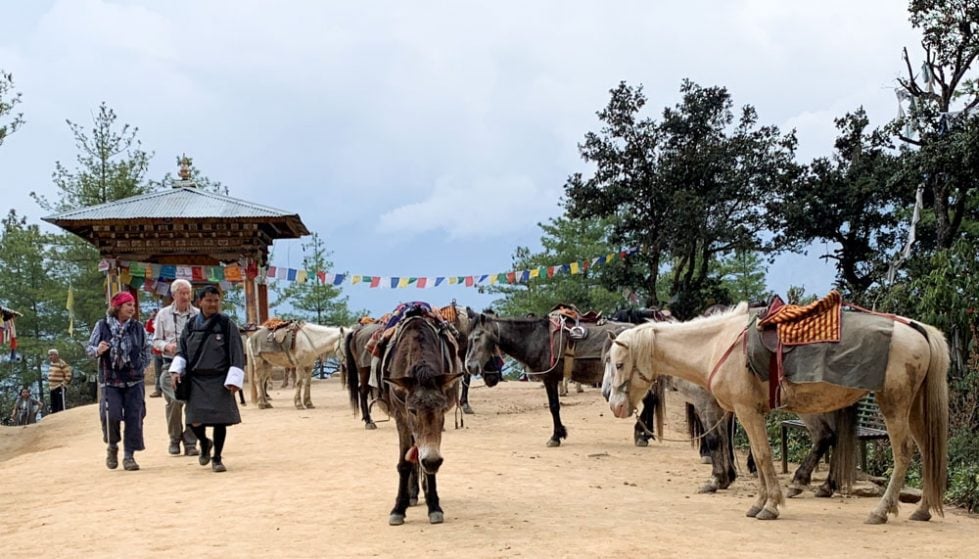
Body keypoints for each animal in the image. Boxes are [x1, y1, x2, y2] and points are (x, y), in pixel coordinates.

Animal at [604, 304, 948, 524]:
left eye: (618, 363)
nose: (614, 403)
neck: (716, 345)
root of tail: (917, 330)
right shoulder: (742, 413)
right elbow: (754, 455)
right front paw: (757, 501)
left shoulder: (744, 411)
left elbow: (759, 454)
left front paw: (768, 505)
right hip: (913, 409)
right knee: (926, 451)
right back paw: (922, 510)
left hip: (893, 405)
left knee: (901, 452)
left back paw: (880, 510)